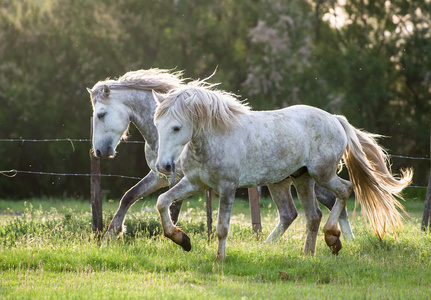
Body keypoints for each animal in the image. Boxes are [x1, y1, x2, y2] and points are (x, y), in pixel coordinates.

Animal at [88, 68, 354, 241]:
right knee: (295, 212)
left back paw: (344, 239)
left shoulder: (178, 177)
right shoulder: (160, 175)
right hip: (285, 180)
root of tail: (334, 119)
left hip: (313, 176)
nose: (100, 151)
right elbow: (130, 196)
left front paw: (172, 237)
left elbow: (172, 208)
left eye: (101, 114)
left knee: (335, 198)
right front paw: (112, 234)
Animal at [154, 79, 414, 260]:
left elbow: (221, 227)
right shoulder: (195, 183)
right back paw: (306, 254)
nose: (163, 166)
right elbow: (162, 201)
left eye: (177, 127)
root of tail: (335, 119)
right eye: (158, 124)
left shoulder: (227, 188)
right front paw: (182, 239)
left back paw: (332, 238)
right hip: (299, 180)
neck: (215, 137)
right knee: (309, 216)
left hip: (321, 175)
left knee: (344, 190)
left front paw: (220, 259)